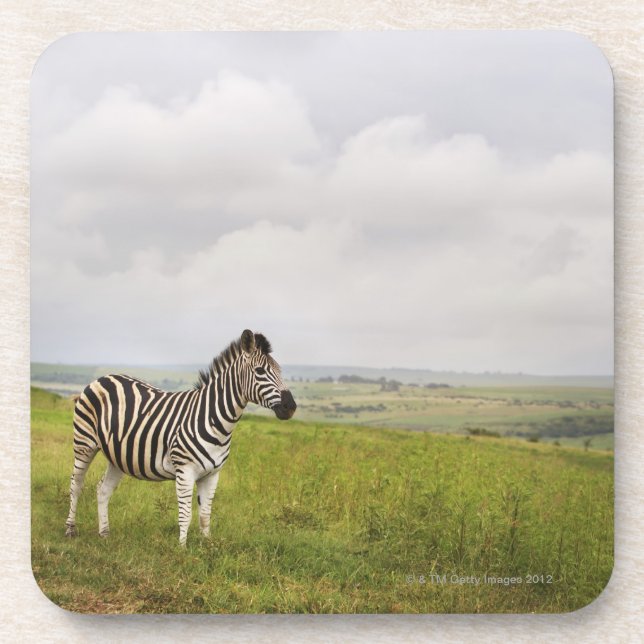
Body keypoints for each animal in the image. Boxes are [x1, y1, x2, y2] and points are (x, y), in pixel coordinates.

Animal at [65, 329, 296, 546]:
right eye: (260, 371)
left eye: (280, 371)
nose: (291, 407)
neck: (214, 420)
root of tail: (103, 377)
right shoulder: (185, 471)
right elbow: (186, 515)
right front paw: (181, 550)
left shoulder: (212, 474)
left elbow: (205, 515)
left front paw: (207, 547)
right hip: (84, 443)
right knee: (76, 484)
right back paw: (70, 530)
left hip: (118, 455)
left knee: (103, 490)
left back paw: (104, 534)